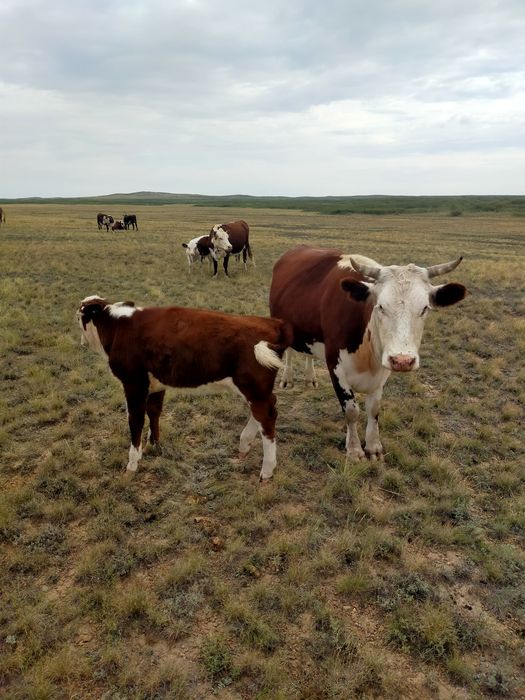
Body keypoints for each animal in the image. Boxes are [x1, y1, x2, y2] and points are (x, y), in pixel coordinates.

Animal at [77, 296, 293, 480]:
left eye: (79, 315)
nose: (81, 342)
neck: (118, 327)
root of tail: (274, 323)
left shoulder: (134, 384)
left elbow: (135, 422)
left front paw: (132, 465)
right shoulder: (156, 384)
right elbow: (154, 412)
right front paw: (153, 445)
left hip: (254, 388)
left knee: (266, 417)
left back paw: (266, 470)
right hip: (257, 390)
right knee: (264, 411)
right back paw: (245, 445)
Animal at [269, 245, 466, 462]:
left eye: (424, 308)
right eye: (380, 306)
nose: (403, 360)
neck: (367, 352)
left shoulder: (382, 371)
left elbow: (374, 409)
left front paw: (373, 446)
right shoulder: (336, 367)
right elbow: (351, 411)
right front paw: (354, 450)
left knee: (308, 354)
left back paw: (310, 379)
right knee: (289, 352)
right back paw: (287, 379)